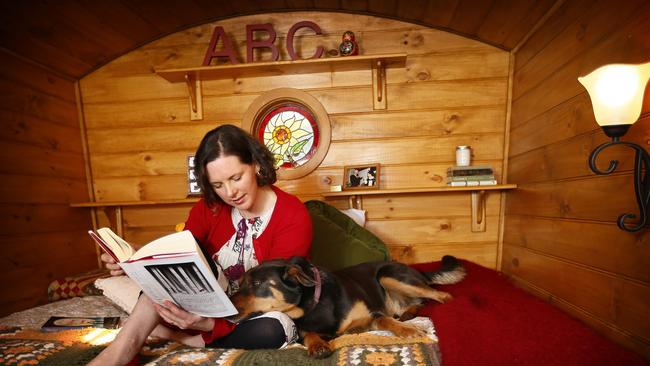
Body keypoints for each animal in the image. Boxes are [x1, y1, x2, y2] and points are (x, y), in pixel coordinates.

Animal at [230, 254, 464, 358]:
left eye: (257, 284)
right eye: (240, 284)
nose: (228, 312)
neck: (312, 305)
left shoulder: (372, 314)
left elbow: (384, 319)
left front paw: (406, 330)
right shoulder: (303, 328)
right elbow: (309, 333)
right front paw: (317, 345)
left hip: (389, 275)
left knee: (438, 294)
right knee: (418, 302)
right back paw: (408, 313)